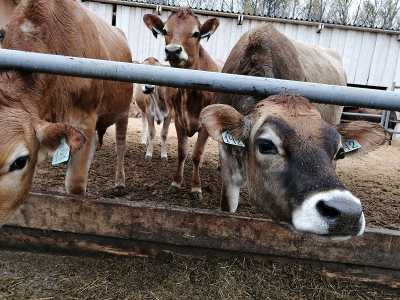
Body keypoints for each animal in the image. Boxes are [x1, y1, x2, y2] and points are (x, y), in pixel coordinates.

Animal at [0, 0, 133, 225]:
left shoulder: (85, 116)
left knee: (120, 146)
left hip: (124, 112)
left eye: (20, 161)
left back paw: (120, 183)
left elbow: (75, 185)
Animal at [143, 7, 219, 199]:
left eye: (196, 33)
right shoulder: (178, 120)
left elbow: (197, 154)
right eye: (164, 31)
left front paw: (196, 187)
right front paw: (176, 182)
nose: (172, 50)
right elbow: (182, 152)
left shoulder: (205, 125)